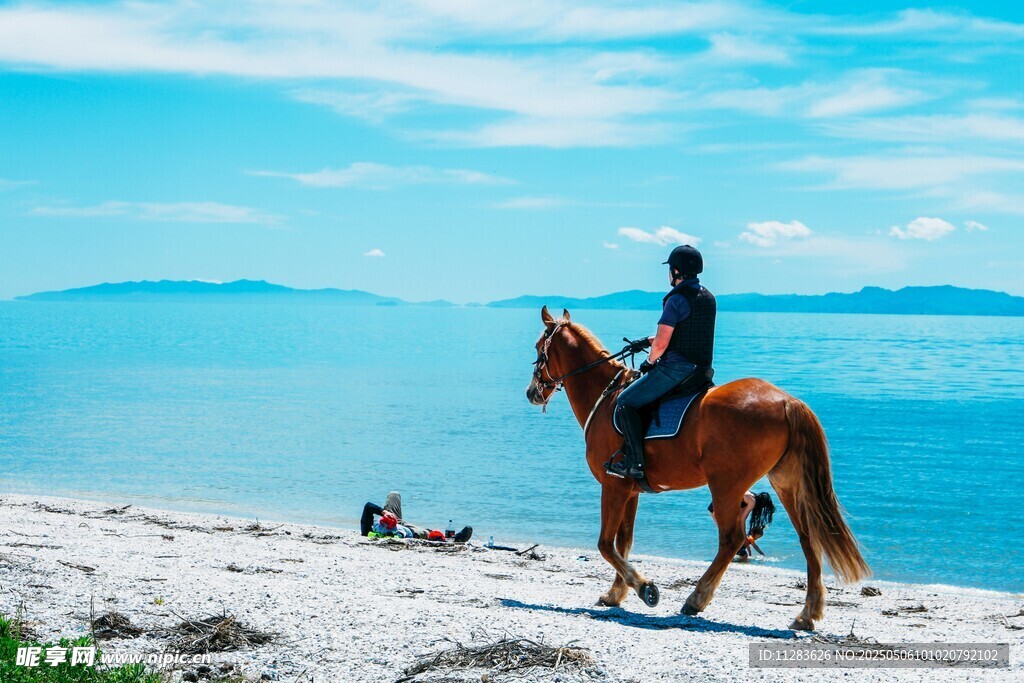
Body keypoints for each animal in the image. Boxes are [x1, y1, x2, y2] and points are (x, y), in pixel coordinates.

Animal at [525, 306, 869, 631]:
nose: (532, 392)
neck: (607, 398)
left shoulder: (613, 486)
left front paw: (645, 588)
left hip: (727, 485)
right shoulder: (630, 491)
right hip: (786, 483)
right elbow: (624, 542)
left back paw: (697, 598)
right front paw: (616, 594)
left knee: (732, 539)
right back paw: (808, 613)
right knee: (807, 538)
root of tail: (787, 401)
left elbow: (605, 544)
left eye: (539, 348)